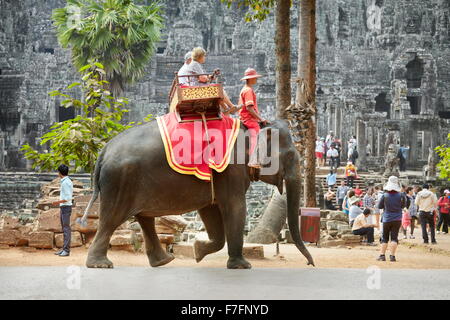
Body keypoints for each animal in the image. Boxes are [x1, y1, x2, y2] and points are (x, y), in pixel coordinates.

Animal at [78, 119, 316, 268]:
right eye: (290, 155)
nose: (310, 263)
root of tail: (104, 150)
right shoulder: (231, 170)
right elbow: (235, 207)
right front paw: (242, 266)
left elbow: (210, 210)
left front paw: (197, 252)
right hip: (120, 182)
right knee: (111, 219)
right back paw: (100, 265)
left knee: (144, 218)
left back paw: (164, 261)